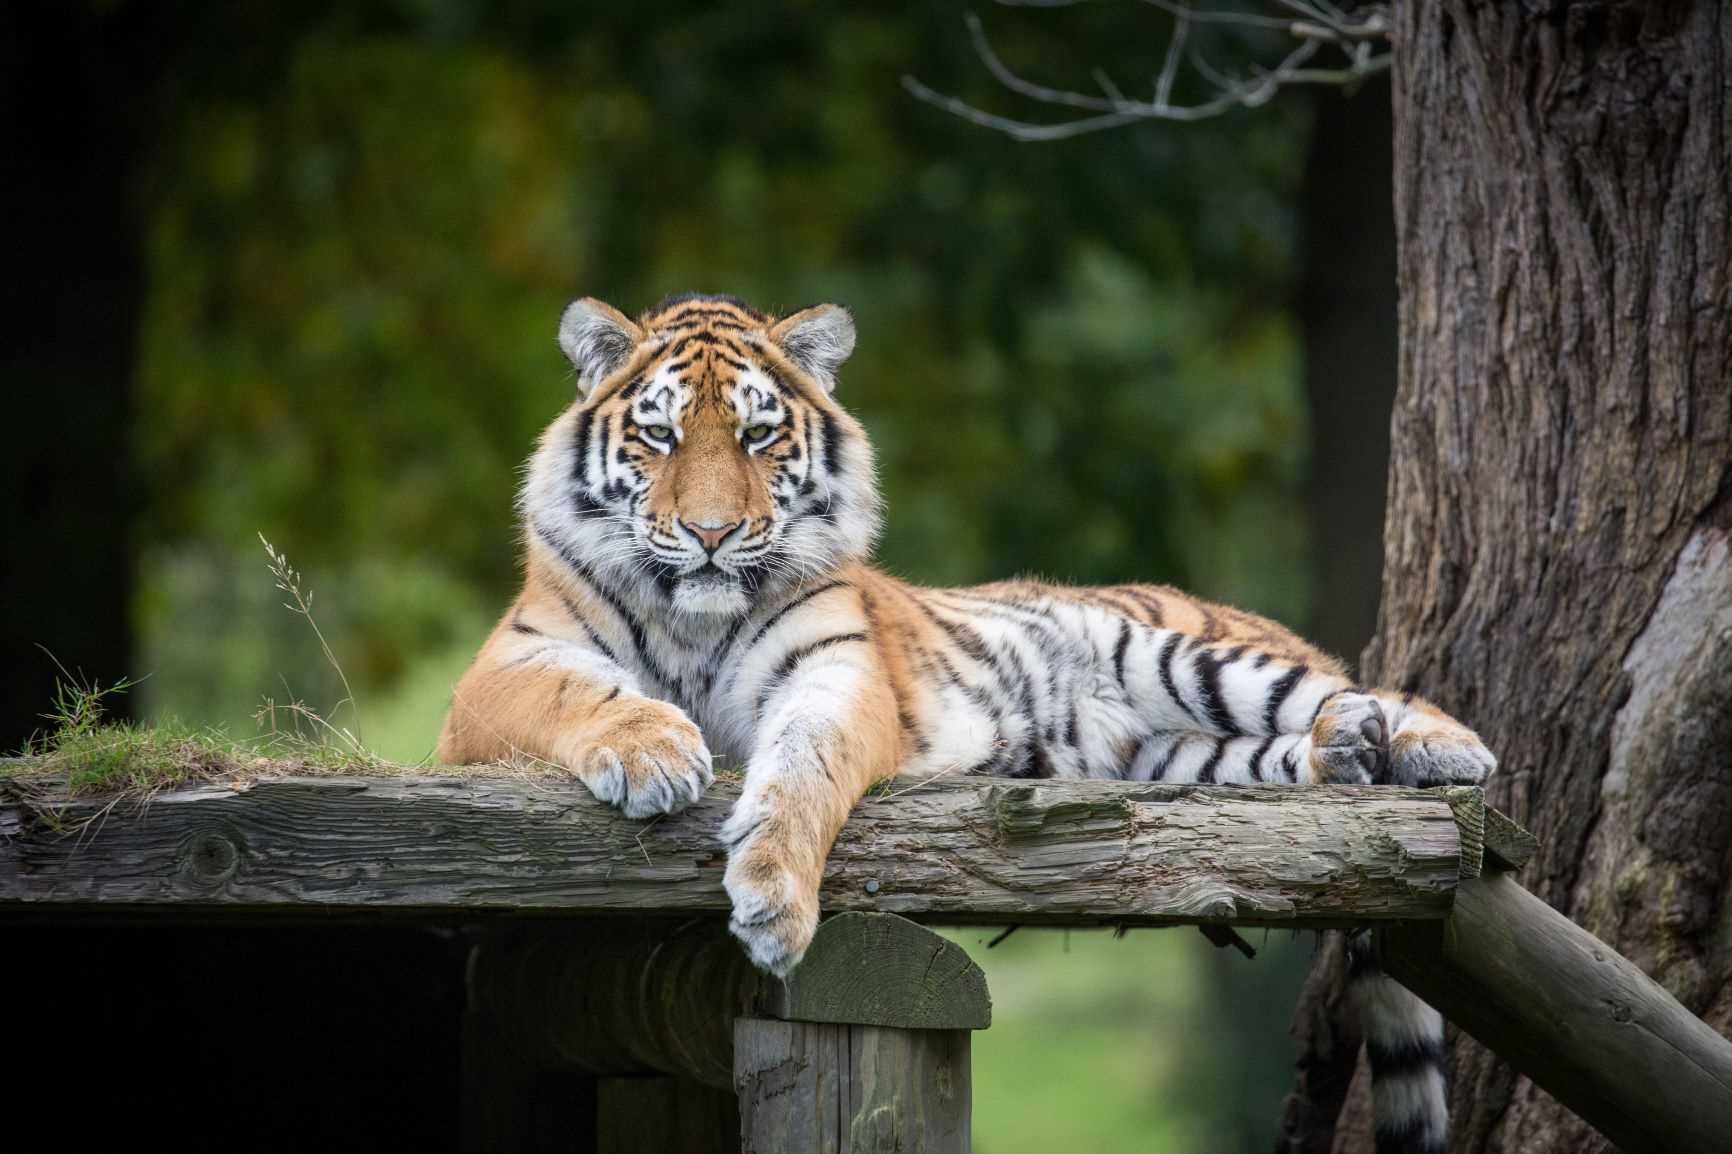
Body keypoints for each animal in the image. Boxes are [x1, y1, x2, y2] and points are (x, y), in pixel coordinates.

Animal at [436, 289, 1489, 1150]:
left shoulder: (835, 673)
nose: (709, 534)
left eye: (757, 438)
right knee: (1288, 746)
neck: (692, 619)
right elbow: (580, 693)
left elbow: (806, 766)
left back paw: (1440, 747)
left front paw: (773, 900)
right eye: (658, 438)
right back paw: (1347, 754)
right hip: (1179, 759)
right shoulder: (497, 674)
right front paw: (656, 751)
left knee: (1358, 687)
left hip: (1185, 654)